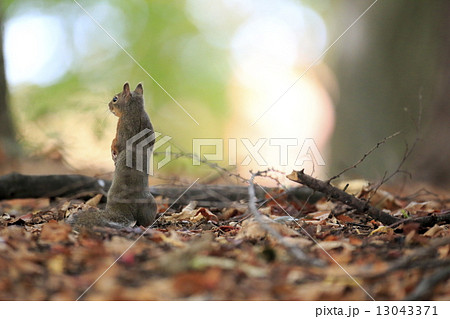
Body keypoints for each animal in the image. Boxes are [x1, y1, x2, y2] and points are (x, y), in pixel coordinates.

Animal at [67, 83, 156, 230]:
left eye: (115, 99)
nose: (109, 105)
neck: (135, 110)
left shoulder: (122, 128)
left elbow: (117, 143)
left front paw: (113, 152)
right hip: (150, 205)